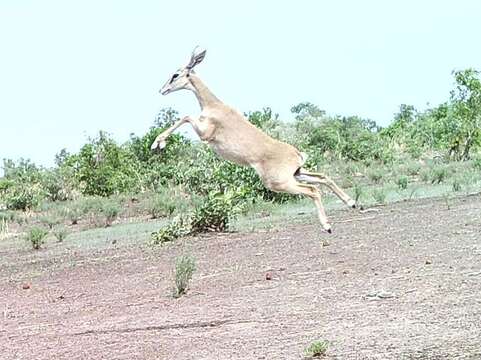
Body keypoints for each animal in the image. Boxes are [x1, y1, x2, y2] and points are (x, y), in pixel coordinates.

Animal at [151, 48, 356, 233]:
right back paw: (351, 203)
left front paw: (158, 143)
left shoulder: (205, 134)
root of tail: (297, 154)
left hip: (281, 183)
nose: (162, 90)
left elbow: (185, 117)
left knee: (313, 190)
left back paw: (328, 226)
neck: (214, 106)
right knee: (323, 177)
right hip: (297, 173)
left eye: (175, 74)